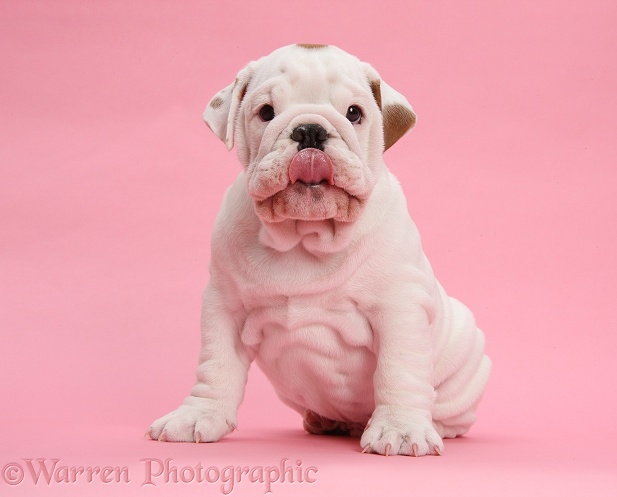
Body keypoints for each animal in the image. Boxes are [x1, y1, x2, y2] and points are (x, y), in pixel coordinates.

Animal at [147, 44, 488, 456]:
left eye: (354, 113)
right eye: (266, 112)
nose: (309, 129)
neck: (305, 234)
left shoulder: (399, 308)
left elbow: (399, 370)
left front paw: (402, 429)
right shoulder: (224, 306)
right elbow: (215, 365)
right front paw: (197, 415)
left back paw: (432, 423)